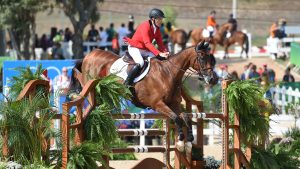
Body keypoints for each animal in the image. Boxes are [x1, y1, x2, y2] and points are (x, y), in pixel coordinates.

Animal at [72, 41, 219, 152]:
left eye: (211, 59)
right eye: (202, 58)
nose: (213, 79)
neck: (168, 73)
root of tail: (89, 54)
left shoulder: (174, 104)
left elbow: (186, 117)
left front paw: (188, 139)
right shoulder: (157, 104)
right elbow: (176, 118)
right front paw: (181, 137)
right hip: (89, 81)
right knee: (82, 86)